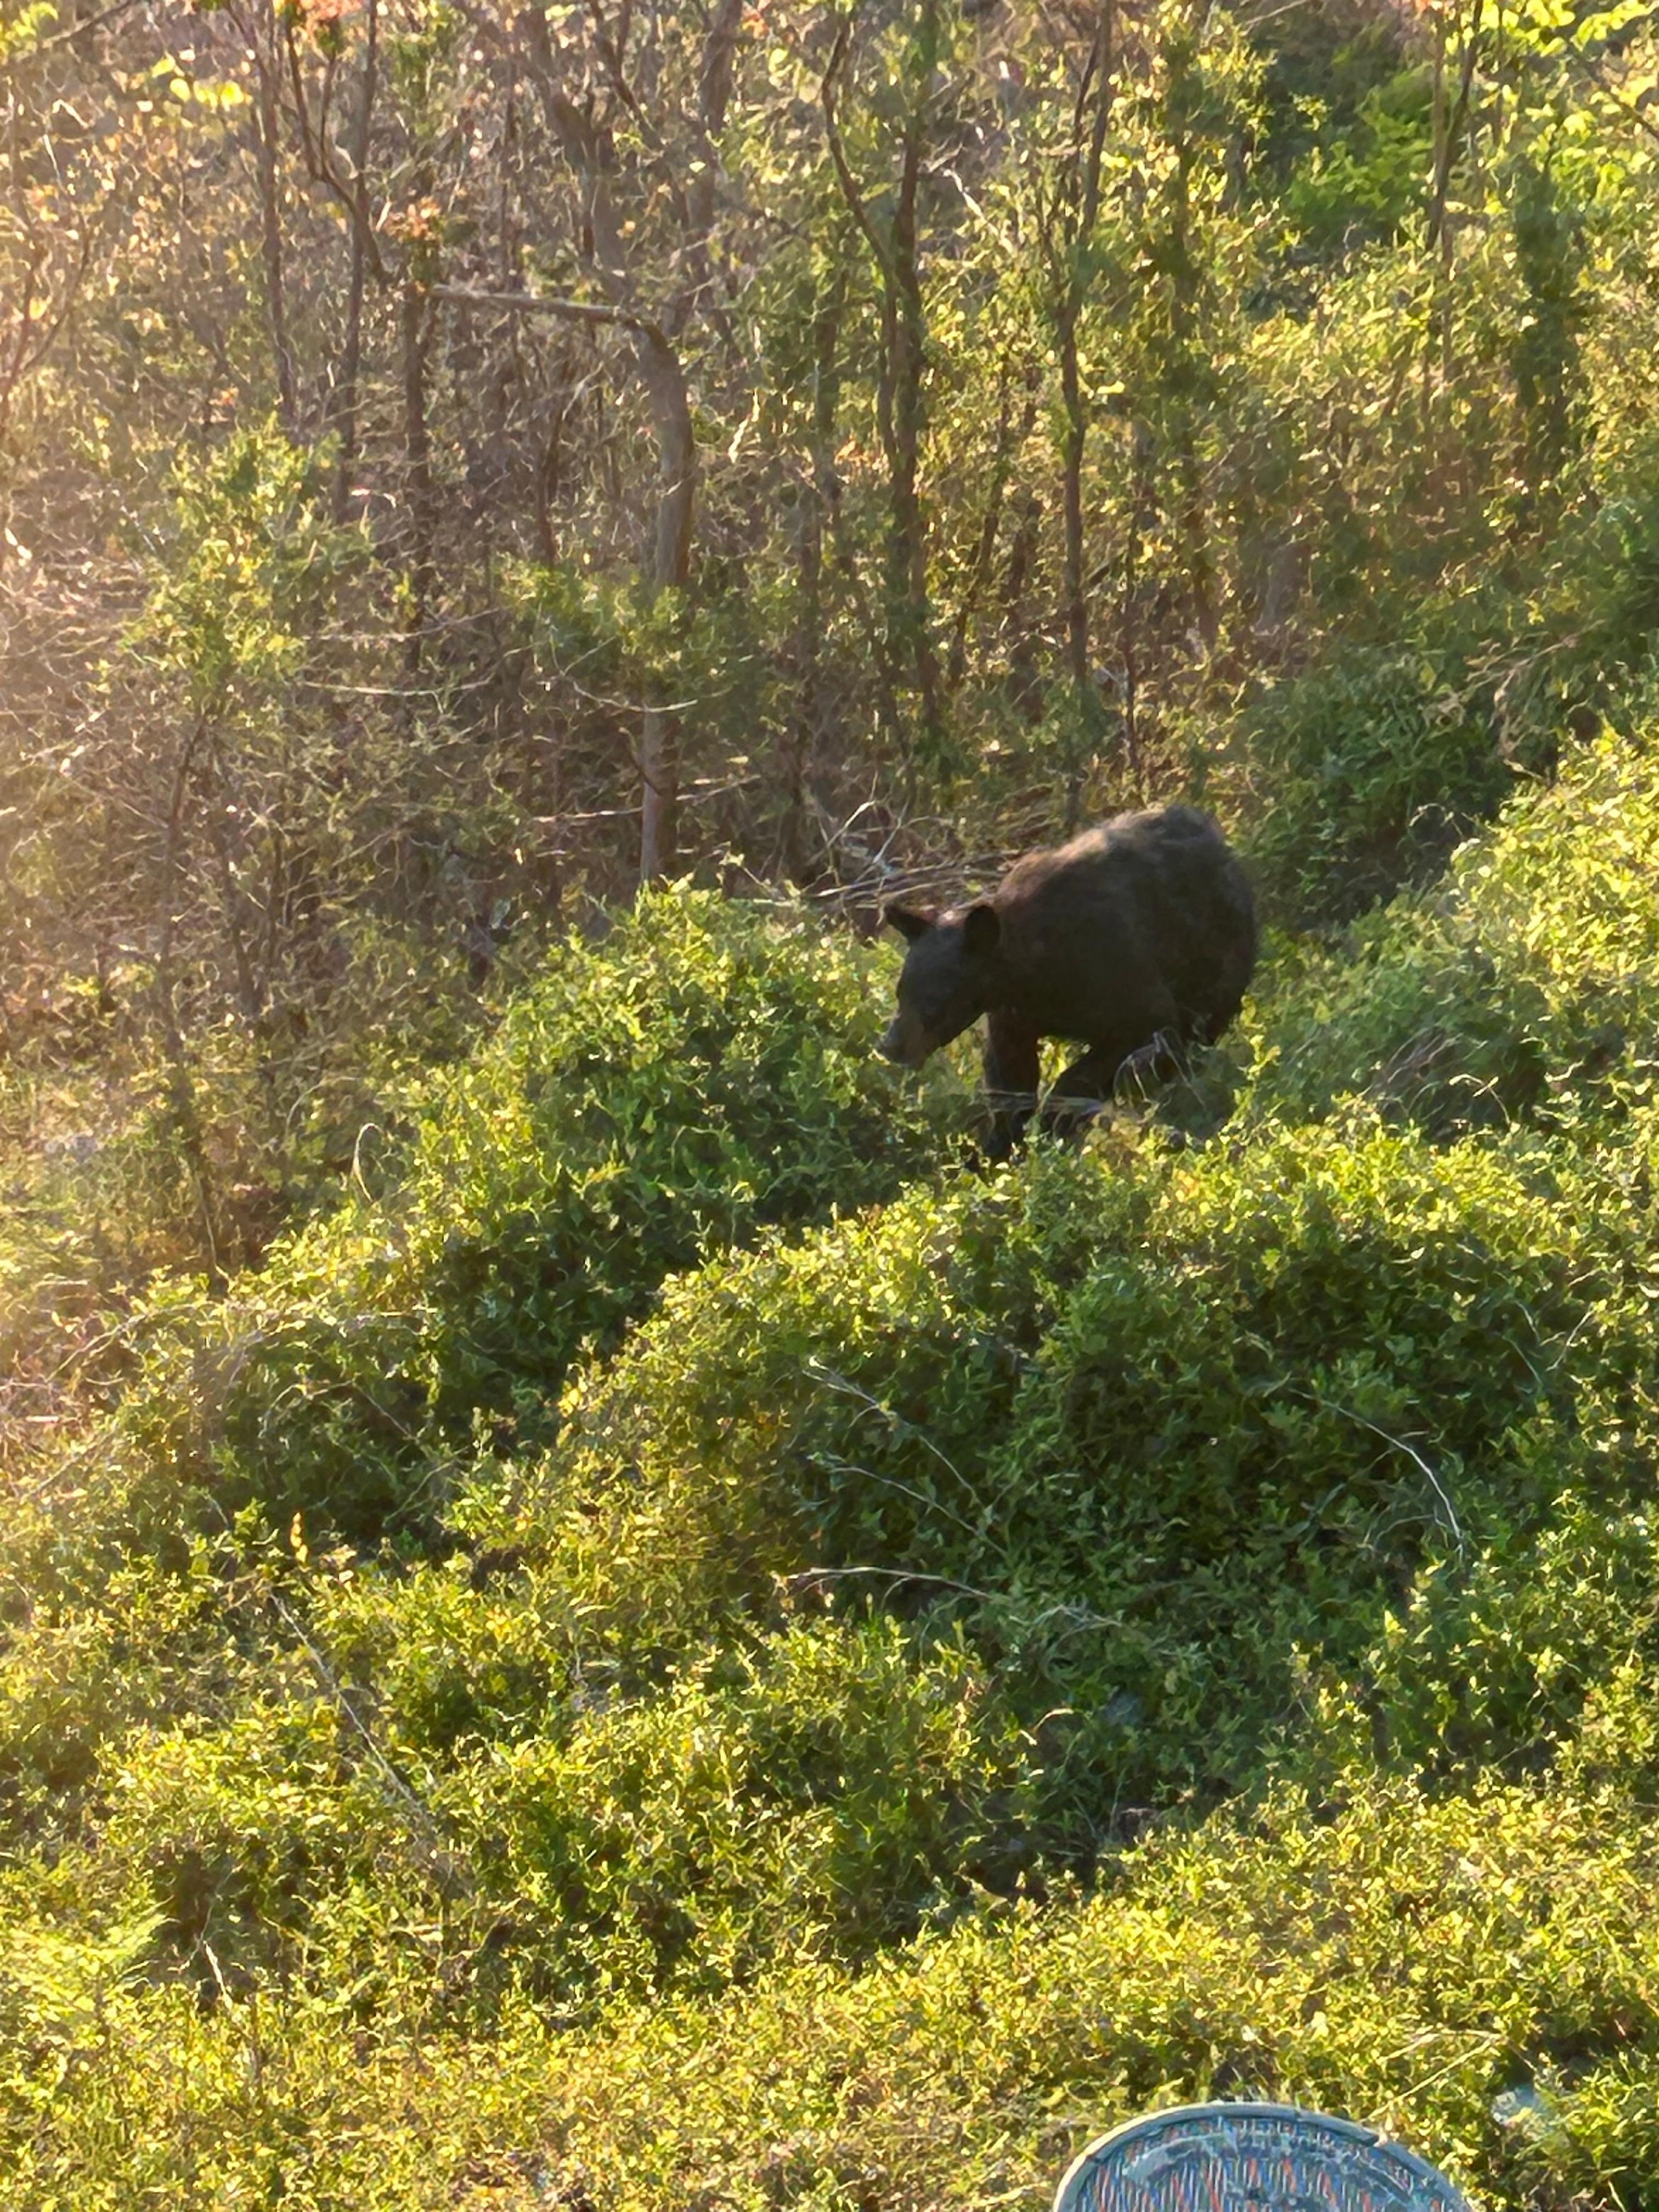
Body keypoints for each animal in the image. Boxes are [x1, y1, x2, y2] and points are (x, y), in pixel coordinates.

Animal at [879, 804, 1257, 1156]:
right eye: (901, 991)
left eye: (935, 997)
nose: (890, 1046)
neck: (1031, 970)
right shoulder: (1014, 1015)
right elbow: (1011, 1077)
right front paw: (1000, 1148)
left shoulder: (1117, 975)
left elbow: (1136, 1033)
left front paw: (1057, 1119)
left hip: (1217, 962)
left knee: (1194, 1032)